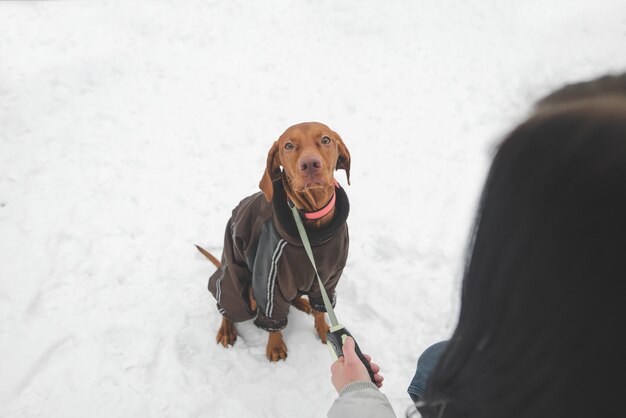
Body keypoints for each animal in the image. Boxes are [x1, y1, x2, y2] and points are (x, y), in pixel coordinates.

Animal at [197, 121, 348, 360]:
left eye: (326, 140)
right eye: (288, 145)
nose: (310, 164)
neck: (312, 230)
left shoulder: (328, 279)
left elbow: (321, 308)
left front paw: (326, 331)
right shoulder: (269, 282)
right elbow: (273, 319)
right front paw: (275, 346)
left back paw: (301, 302)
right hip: (235, 283)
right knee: (228, 307)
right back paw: (227, 330)